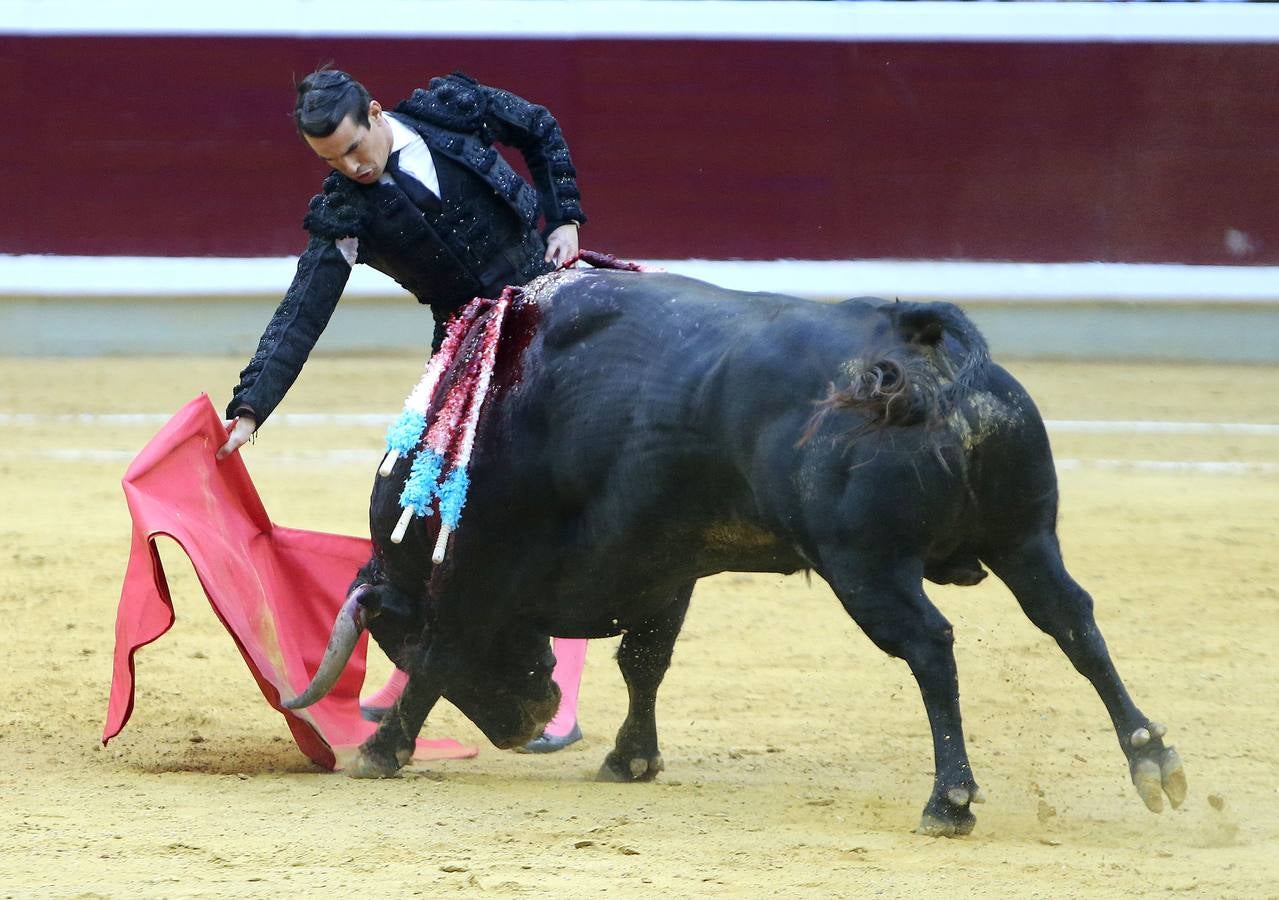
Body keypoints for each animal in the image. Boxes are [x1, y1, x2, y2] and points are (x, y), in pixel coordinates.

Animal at [285, 268, 1181, 838]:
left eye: (392, 638)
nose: (526, 723)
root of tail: (919, 351)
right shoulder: (665, 563)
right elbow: (644, 663)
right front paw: (630, 760)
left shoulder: (483, 567)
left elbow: (446, 651)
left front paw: (379, 752)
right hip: (1026, 537)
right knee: (1072, 620)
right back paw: (1152, 761)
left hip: (866, 566)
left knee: (932, 647)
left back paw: (949, 801)